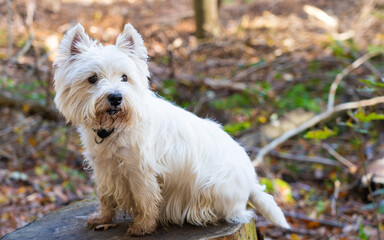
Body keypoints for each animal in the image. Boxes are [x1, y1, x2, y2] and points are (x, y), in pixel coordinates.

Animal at [53, 23, 288, 236]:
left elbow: (145, 199)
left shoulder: (140, 171)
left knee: (230, 211)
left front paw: (142, 227)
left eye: (124, 77)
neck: (114, 129)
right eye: (92, 78)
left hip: (213, 186)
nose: (116, 97)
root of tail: (250, 181)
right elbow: (105, 195)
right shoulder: (104, 168)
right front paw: (102, 219)